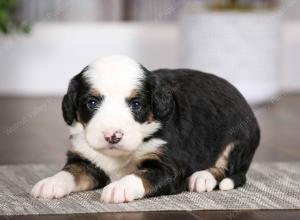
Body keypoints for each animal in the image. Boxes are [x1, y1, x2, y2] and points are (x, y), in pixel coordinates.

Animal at [31, 54, 260, 203]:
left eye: (136, 104)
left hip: (238, 140)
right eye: (92, 103)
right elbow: (70, 172)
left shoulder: (169, 166)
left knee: (230, 169)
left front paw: (119, 188)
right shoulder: (86, 159)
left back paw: (202, 177)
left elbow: (142, 175)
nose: (113, 136)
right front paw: (50, 183)